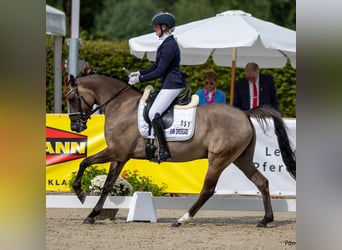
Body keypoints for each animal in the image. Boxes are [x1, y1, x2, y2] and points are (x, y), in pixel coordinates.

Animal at [65, 72, 296, 227]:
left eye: (71, 98)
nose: (76, 127)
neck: (121, 106)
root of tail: (244, 114)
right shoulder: (120, 156)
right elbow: (107, 185)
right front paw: (92, 215)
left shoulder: (116, 151)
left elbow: (84, 162)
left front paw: (80, 192)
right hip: (242, 159)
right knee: (262, 182)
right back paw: (265, 220)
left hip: (219, 159)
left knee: (208, 189)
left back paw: (181, 219)